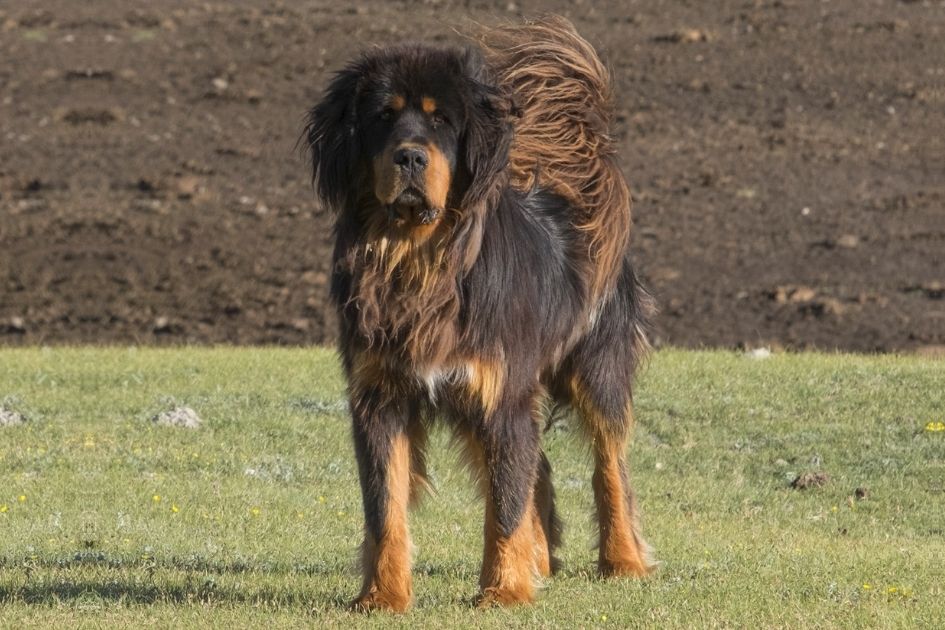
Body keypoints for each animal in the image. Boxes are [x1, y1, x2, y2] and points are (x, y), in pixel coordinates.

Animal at [306, 18, 652, 612]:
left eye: (442, 120)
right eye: (382, 117)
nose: (409, 157)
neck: (418, 260)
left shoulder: (501, 394)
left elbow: (505, 506)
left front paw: (505, 591)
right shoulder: (381, 397)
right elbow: (384, 507)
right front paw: (382, 596)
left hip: (593, 369)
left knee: (609, 466)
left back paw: (623, 560)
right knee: (536, 468)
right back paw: (541, 560)